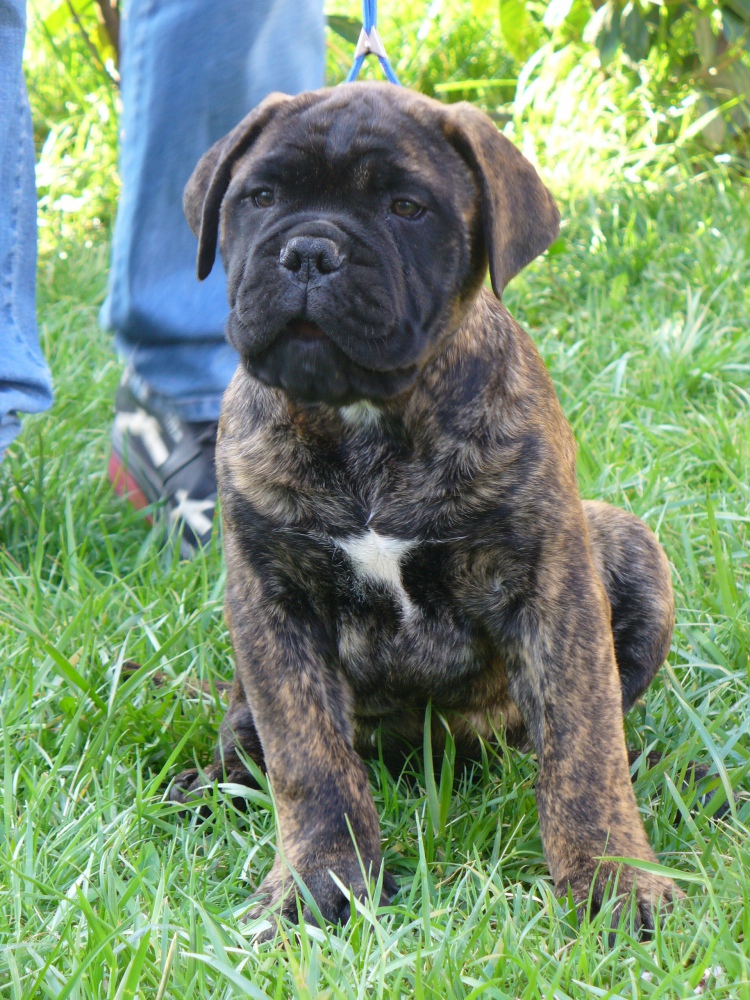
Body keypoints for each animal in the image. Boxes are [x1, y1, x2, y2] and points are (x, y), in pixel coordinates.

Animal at [170, 82, 680, 932]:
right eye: (261, 197)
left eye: (407, 207)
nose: (310, 253)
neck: (366, 420)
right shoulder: (271, 599)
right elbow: (307, 758)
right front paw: (319, 882)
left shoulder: (552, 585)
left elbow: (583, 744)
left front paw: (614, 881)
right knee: (249, 736)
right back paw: (207, 788)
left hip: (627, 542)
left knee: (579, 727)